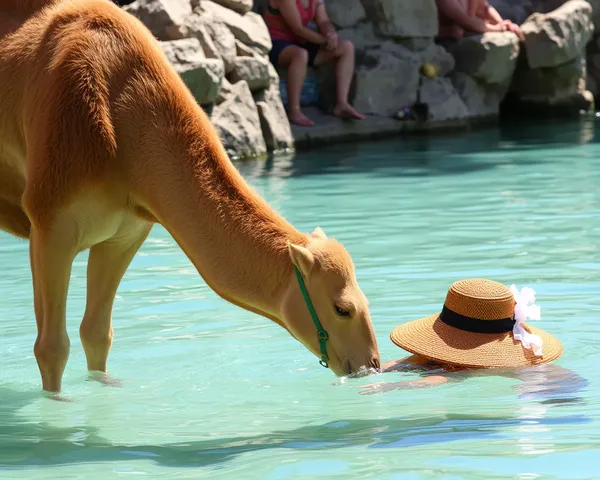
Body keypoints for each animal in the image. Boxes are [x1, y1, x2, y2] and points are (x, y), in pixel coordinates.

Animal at [0, 0, 380, 394]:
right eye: (342, 308)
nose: (372, 364)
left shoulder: (124, 233)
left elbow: (97, 333)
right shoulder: (50, 223)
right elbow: (51, 347)